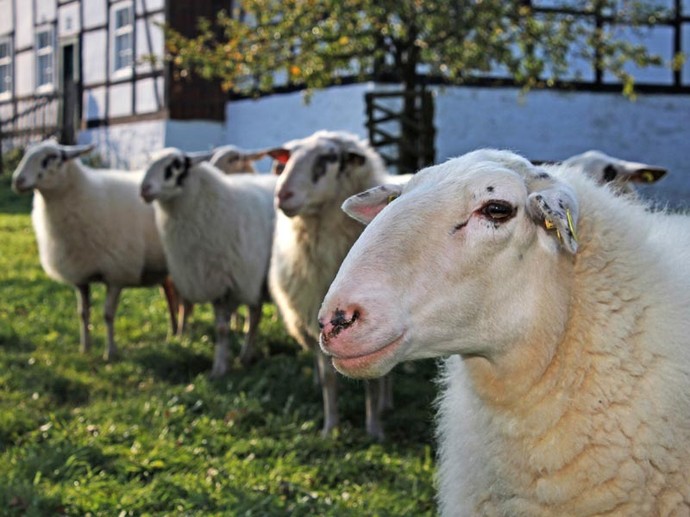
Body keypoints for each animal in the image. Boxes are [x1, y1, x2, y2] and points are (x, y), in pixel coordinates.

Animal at [11, 139, 177, 360]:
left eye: (52, 157)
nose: (17, 181)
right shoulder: (80, 274)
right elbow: (83, 313)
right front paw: (85, 348)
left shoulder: (116, 273)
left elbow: (108, 314)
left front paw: (110, 352)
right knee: (173, 297)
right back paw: (176, 334)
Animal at [138, 147, 276, 376]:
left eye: (176, 165)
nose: (144, 190)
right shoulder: (213, 280)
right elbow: (221, 328)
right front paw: (220, 367)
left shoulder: (232, 280)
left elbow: (224, 327)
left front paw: (220, 368)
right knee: (255, 314)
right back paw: (246, 355)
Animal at [266, 129, 392, 440]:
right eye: (287, 159)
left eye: (328, 158)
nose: (282, 195)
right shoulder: (316, 318)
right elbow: (327, 380)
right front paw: (330, 427)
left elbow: (373, 382)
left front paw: (374, 430)